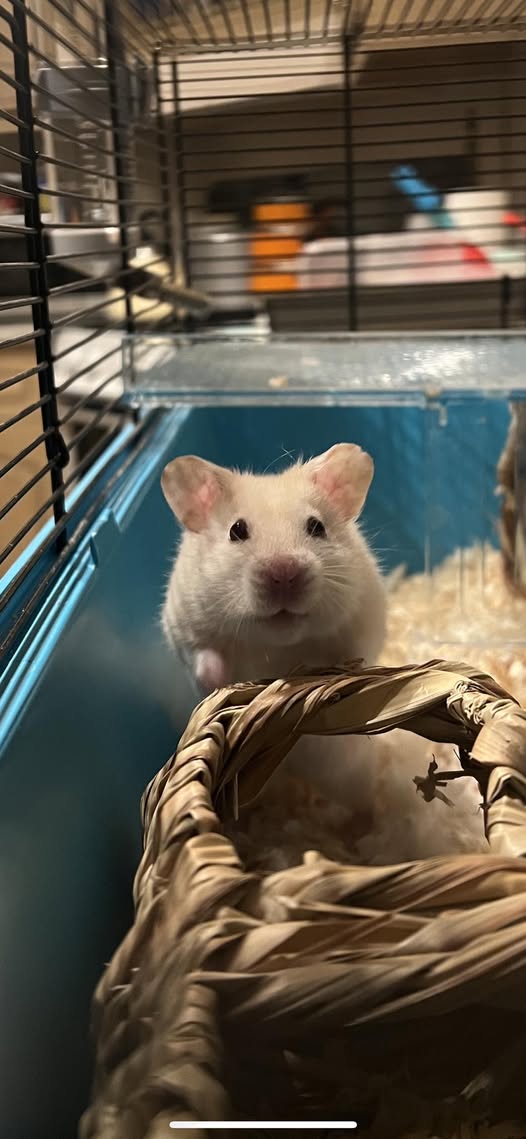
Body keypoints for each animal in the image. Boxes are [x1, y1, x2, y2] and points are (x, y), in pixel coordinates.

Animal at [161, 443, 386, 692]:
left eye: (317, 526)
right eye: (236, 530)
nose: (285, 573)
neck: (278, 644)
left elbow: (354, 655)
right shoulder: (184, 630)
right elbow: (205, 660)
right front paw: (222, 681)